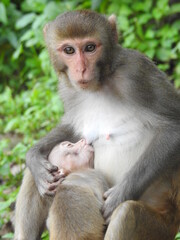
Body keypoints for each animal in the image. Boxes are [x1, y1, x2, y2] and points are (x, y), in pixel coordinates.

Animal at [14, 9, 179, 240]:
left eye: (90, 48)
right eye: (69, 50)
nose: (81, 69)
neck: (102, 81)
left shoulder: (138, 71)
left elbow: (173, 128)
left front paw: (121, 193)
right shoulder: (68, 88)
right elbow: (73, 128)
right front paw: (34, 157)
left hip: (162, 227)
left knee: (126, 214)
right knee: (34, 175)